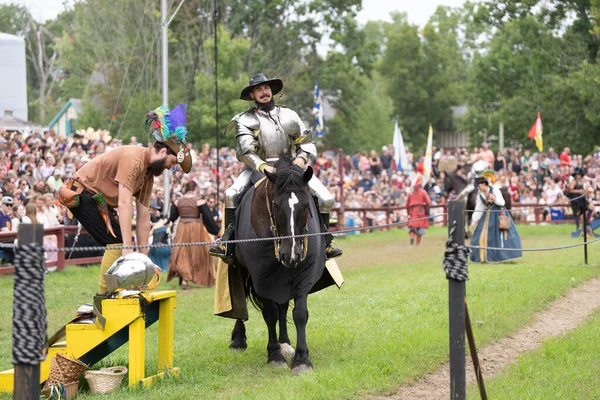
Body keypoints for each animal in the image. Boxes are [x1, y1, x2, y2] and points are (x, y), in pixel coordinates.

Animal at [230, 157, 330, 376]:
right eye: (275, 205)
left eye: (306, 205)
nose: (290, 254)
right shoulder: (261, 277)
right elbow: (270, 314)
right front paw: (275, 355)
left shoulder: (303, 274)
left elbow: (299, 314)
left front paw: (301, 359)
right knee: (241, 301)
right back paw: (239, 339)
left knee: (283, 306)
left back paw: (285, 343)